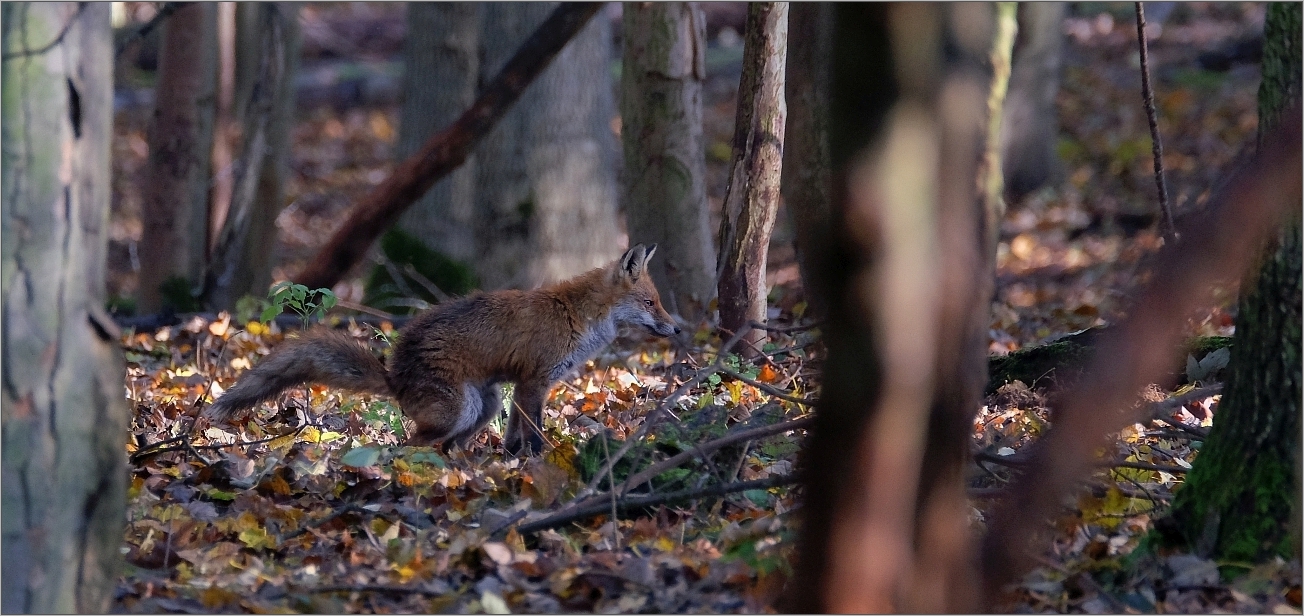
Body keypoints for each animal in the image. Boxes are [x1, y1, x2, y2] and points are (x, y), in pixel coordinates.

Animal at [203, 244, 683, 451]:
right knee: (412, 442)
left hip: (484, 405)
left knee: (446, 443)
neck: (577, 316)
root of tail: (394, 374)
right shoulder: (534, 381)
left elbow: (516, 436)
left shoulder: (527, 386)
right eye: (651, 303)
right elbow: (533, 434)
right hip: (461, 409)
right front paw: (537, 462)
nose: (676, 329)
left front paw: (513, 464)